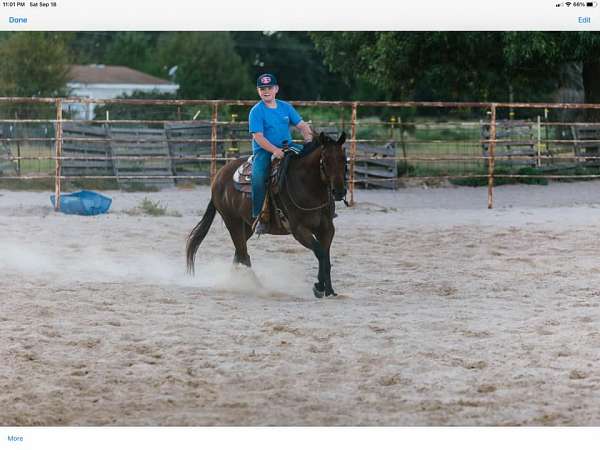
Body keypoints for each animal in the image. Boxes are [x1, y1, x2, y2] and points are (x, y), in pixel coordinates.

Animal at [186, 131, 346, 298]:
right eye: (325, 161)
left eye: (344, 159)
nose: (339, 191)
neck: (308, 187)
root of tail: (218, 176)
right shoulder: (299, 230)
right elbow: (320, 252)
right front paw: (319, 287)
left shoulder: (327, 229)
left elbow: (326, 257)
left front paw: (329, 289)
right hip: (232, 222)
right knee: (243, 255)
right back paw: (257, 286)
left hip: (246, 226)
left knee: (239, 253)